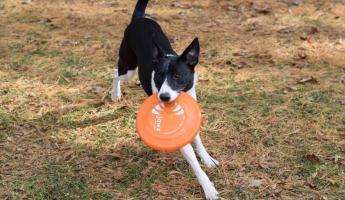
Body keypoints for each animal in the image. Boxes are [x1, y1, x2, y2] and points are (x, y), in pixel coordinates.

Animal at [111, 1, 219, 198]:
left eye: (177, 76)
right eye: (159, 76)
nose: (163, 97)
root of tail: (139, 19)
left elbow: (198, 141)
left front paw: (207, 159)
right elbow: (194, 162)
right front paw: (208, 187)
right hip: (128, 67)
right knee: (115, 73)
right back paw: (115, 94)